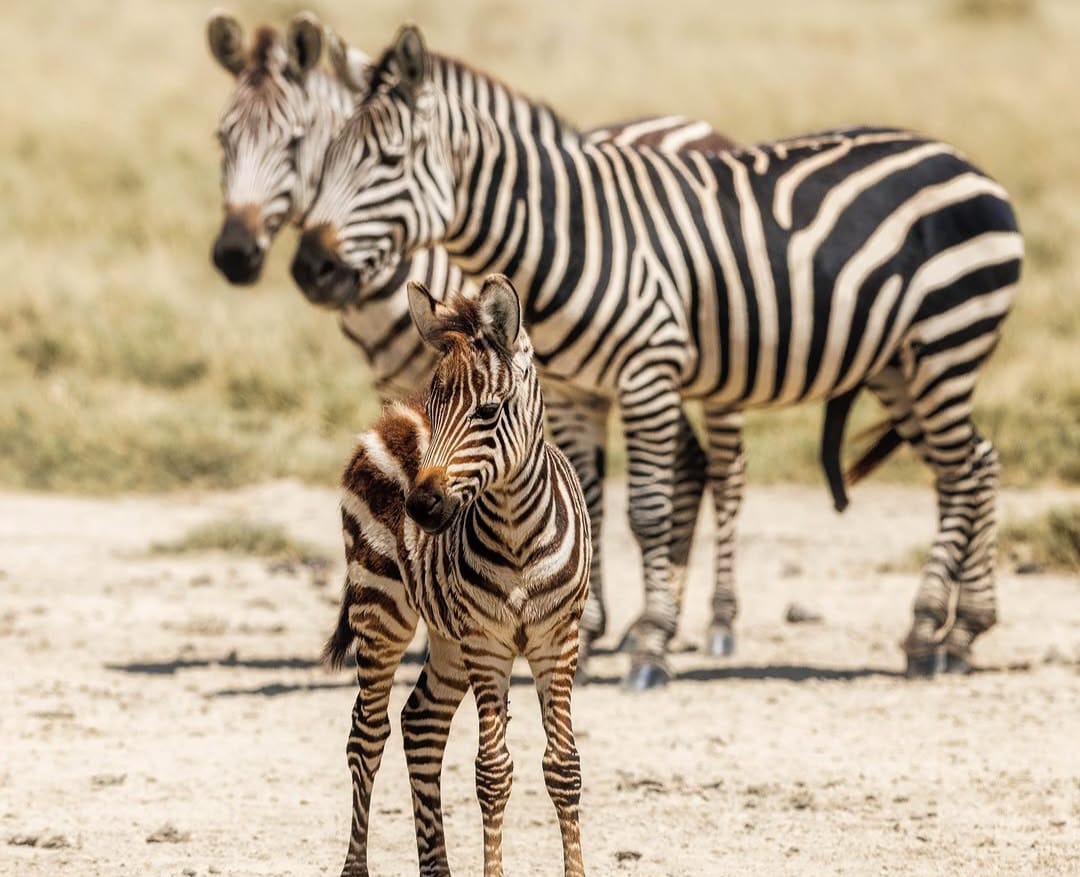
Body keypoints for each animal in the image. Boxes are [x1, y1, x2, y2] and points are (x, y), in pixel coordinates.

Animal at [292, 26, 1024, 687]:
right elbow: (585, 502)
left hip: (947, 341)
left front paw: (649, 645)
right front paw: (584, 635)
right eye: (323, 161)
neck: (567, 232)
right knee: (976, 464)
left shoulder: (648, 369)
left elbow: (645, 510)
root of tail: (965, 162)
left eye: (389, 159)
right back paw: (963, 632)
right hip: (901, 363)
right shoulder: (571, 389)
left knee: (964, 470)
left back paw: (929, 632)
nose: (308, 268)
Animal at [323, 274, 590, 877]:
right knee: (366, 735)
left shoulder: (556, 639)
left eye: (488, 413)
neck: (517, 534)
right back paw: (356, 866)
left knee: (421, 724)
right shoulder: (487, 642)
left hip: (448, 635)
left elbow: (563, 767)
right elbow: (492, 772)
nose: (421, 508)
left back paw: (436, 868)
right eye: (436, 405)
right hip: (382, 607)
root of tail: (393, 415)